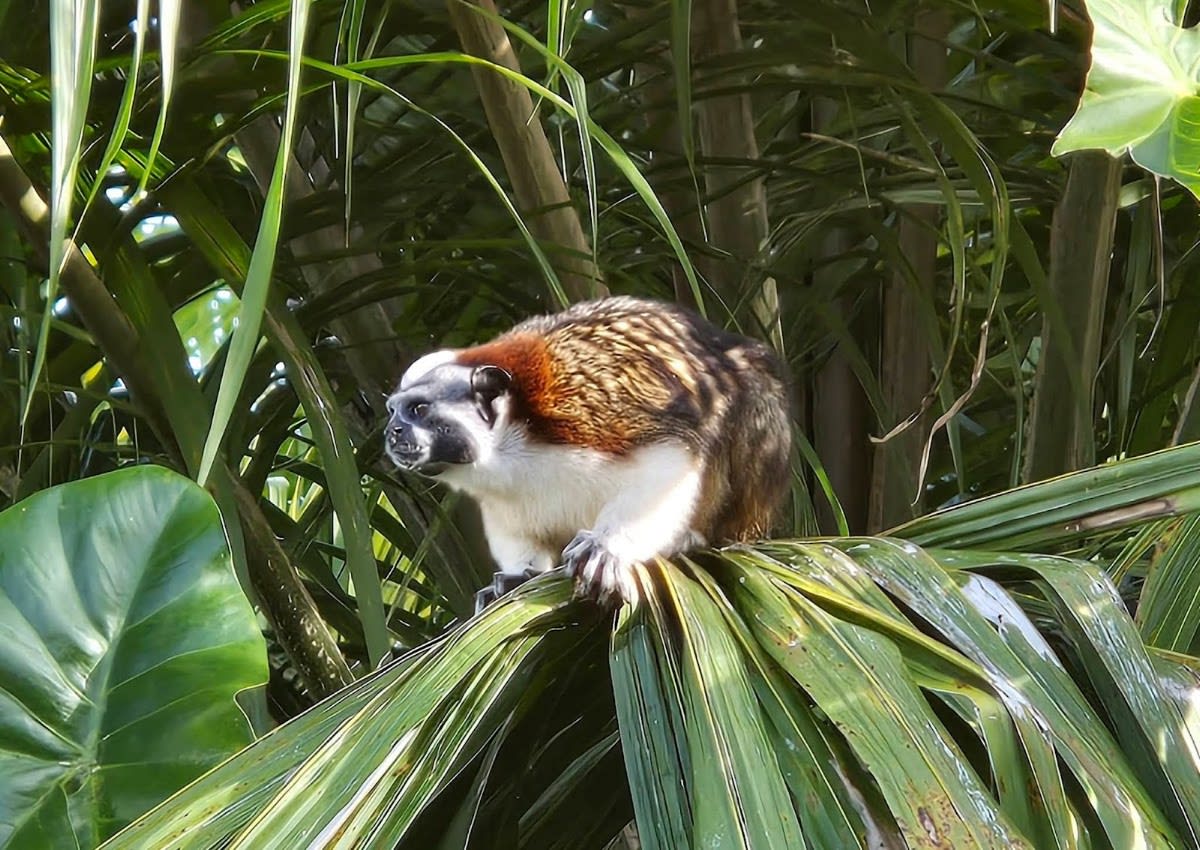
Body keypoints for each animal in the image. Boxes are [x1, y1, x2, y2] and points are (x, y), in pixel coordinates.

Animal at [384, 296, 792, 611]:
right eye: (393, 412)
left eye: (418, 410)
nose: (392, 432)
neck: (511, 447)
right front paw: (517, 576)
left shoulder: (586, 413)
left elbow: (673, 458)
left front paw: (609, 547)